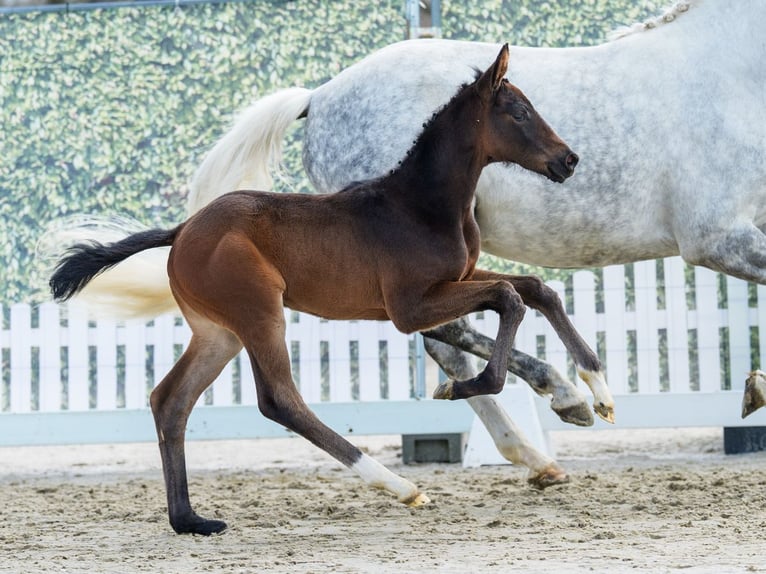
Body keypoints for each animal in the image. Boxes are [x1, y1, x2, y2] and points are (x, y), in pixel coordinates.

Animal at [49, 46, 602, 535]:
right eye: (519, 112)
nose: (570, 160)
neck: (419, 205)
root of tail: (182, 229)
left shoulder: (460, 278)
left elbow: (535, 289)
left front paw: (595, 391)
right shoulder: (410, 306)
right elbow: (509, 297)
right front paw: (460, 388)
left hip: (217, 332)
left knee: (170, 401)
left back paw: (190, 521)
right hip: (258, 313)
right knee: (279, 400)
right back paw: (400, 487)